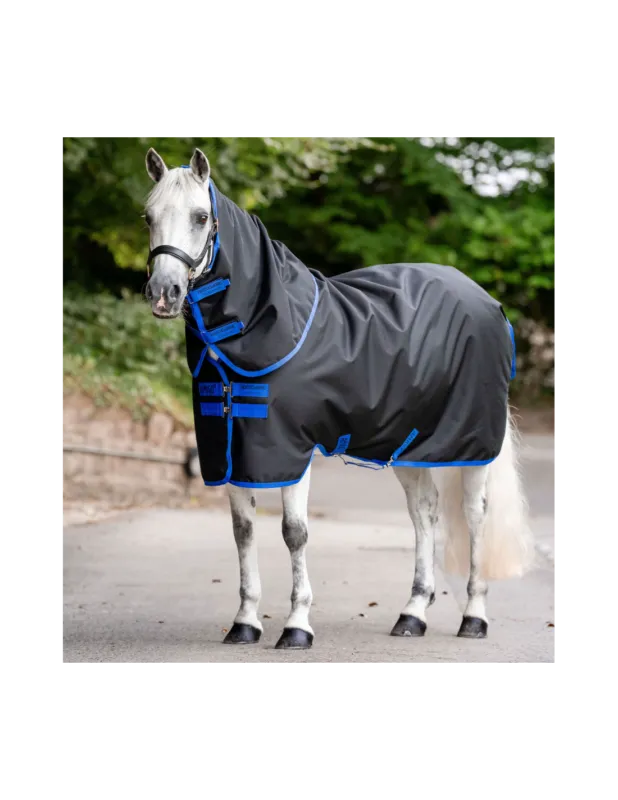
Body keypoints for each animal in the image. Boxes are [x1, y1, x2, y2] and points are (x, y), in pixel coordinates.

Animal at [142, 147, 535, 651]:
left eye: (200, 216)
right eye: (148, 216)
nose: (163, 294)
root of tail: (490, 303)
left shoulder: (291, 450)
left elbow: (294, 533)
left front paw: (297, 626)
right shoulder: (231, 450)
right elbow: (243, 532)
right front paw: (245, 622)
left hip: (473, 446)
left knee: (475, 516)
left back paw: (474, 616)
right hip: (408, 444)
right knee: (424, 514)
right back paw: (412, 614)